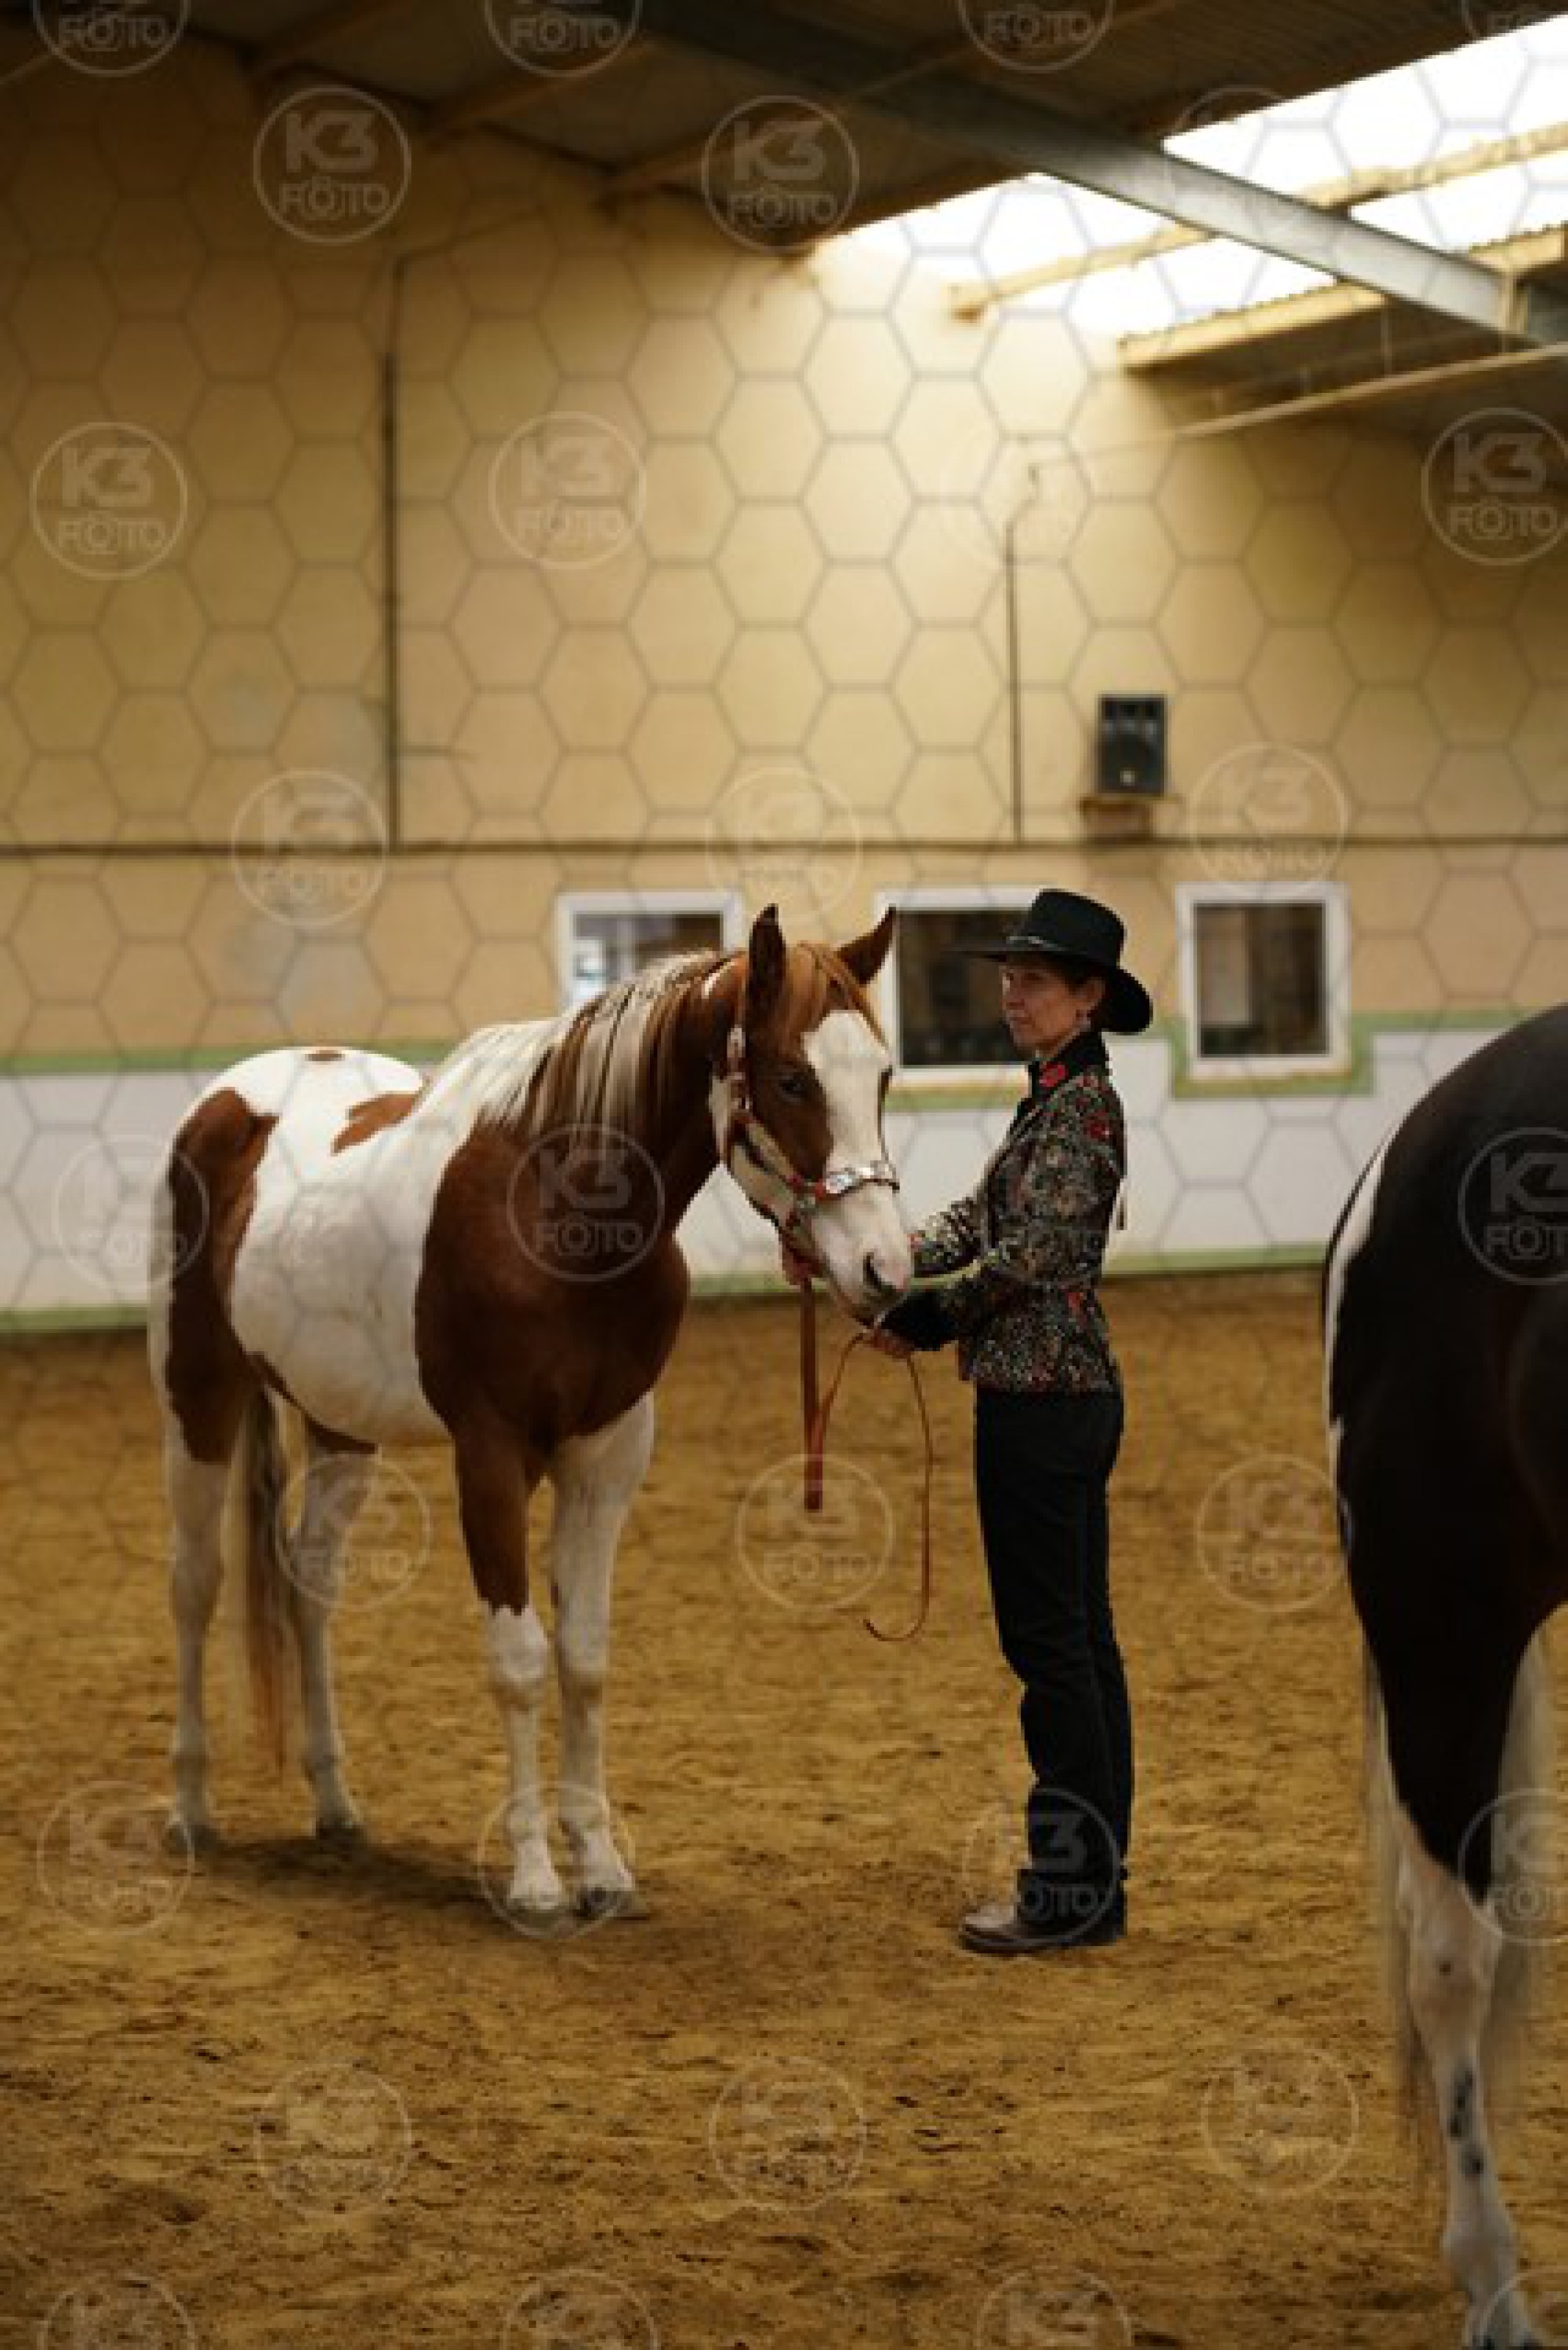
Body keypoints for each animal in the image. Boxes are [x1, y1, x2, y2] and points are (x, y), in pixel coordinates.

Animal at [148, 904, 912, 1926]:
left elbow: (582, 1658)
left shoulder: (606, 1456)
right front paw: (536, 1882)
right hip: (195, 1394)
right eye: (792, 1077)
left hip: (341, 1422)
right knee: (195, 1585)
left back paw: (335, 1803)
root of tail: (226, 1103)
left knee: (309, 1579)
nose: (885, 1270)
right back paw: (191, 1810)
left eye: (882, 1074)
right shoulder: (490, 1456)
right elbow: (517, 1661)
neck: (559, 1215)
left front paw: (601, 1867)